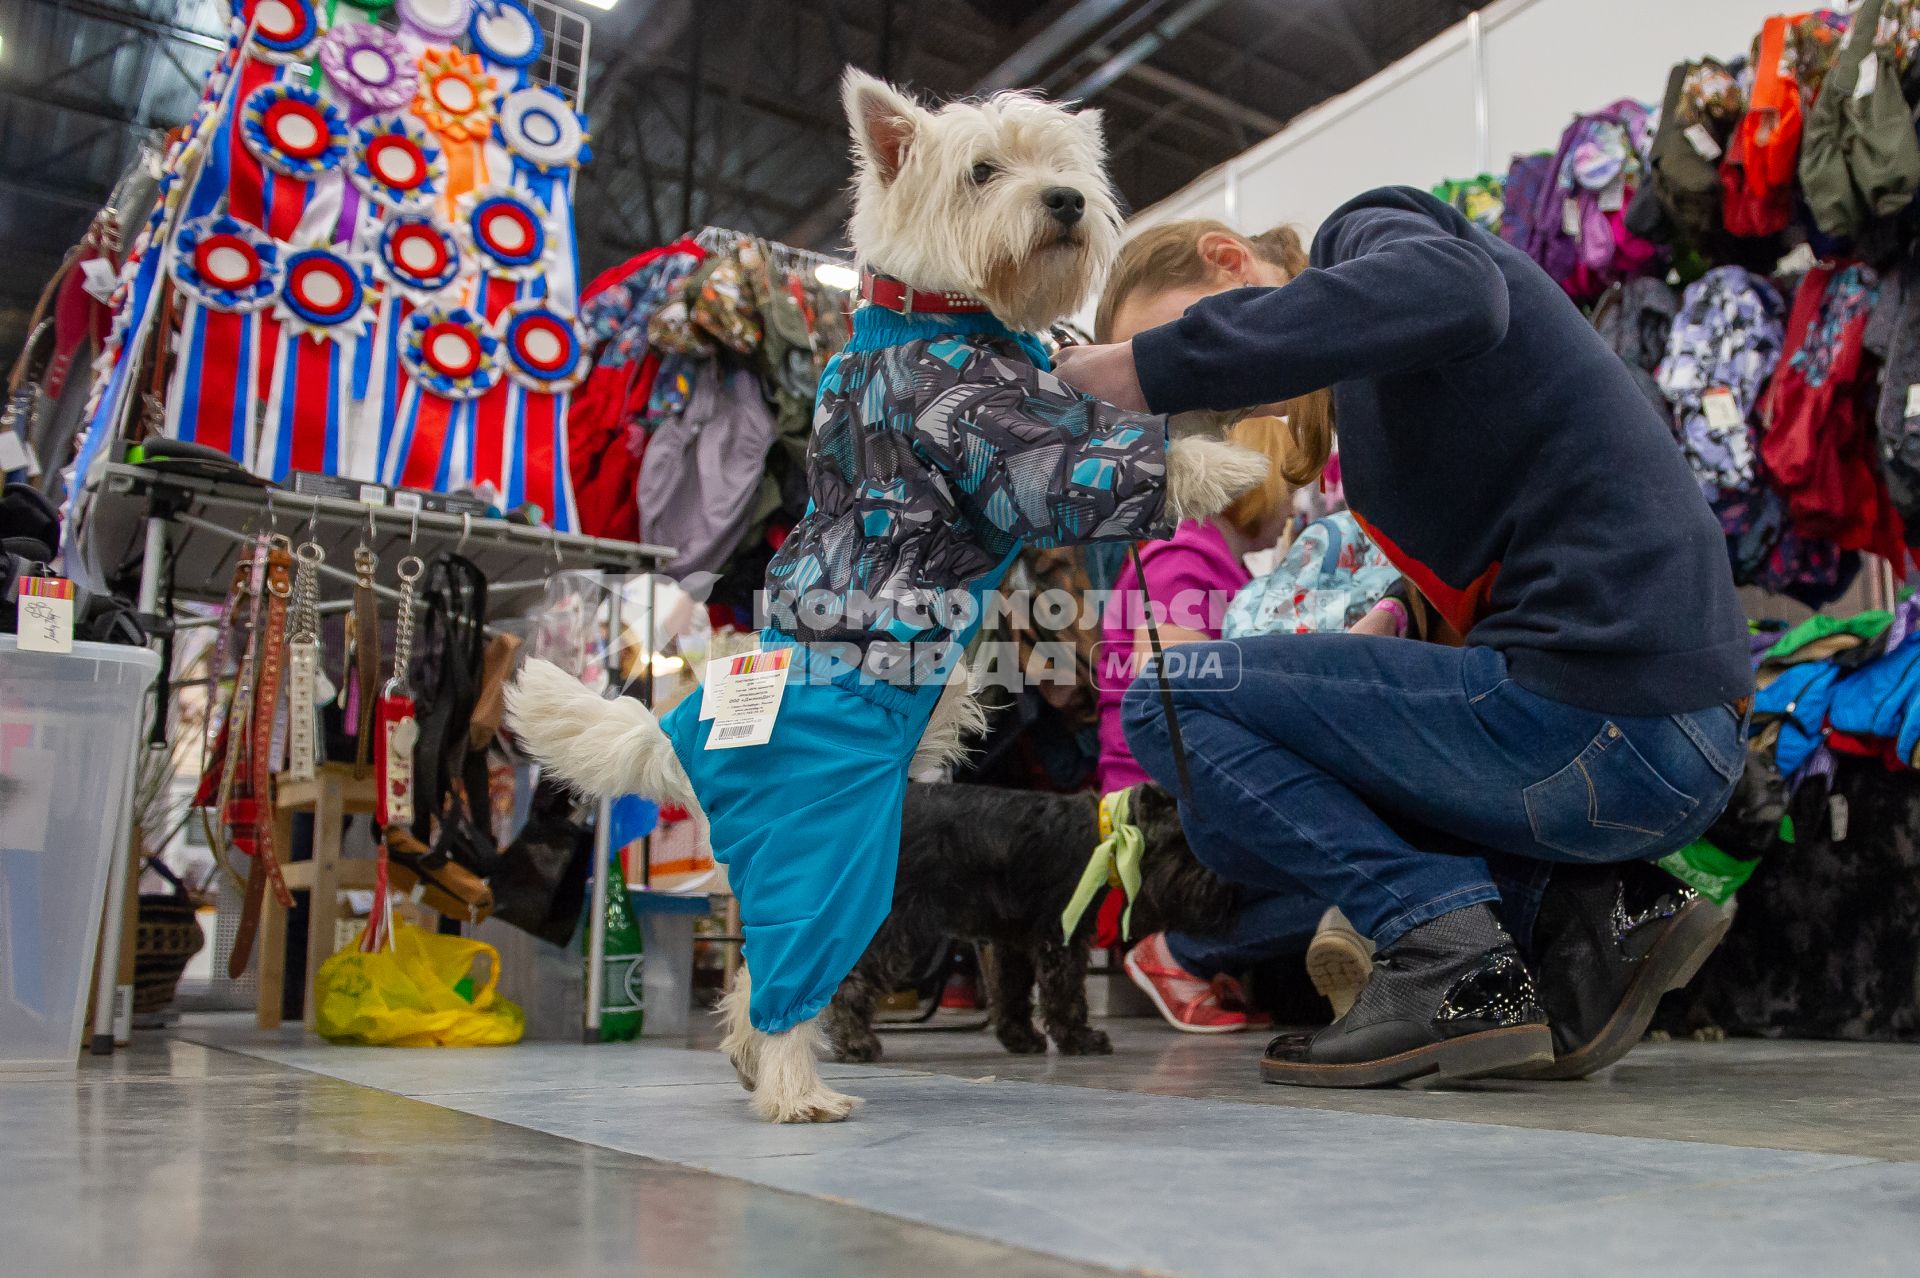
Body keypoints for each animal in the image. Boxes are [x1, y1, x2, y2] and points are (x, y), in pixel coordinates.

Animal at [825, 782, 1228, 1059]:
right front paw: (1079, 1038)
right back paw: (856, 1040)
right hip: (898, 923)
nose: (1222, 882)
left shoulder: (1014, 939)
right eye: (1182, 842)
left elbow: (1013, 991)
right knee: (853, 978)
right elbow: (1065, 992)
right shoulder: (1062, 934)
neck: (1109, 834)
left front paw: (1020, 1037)